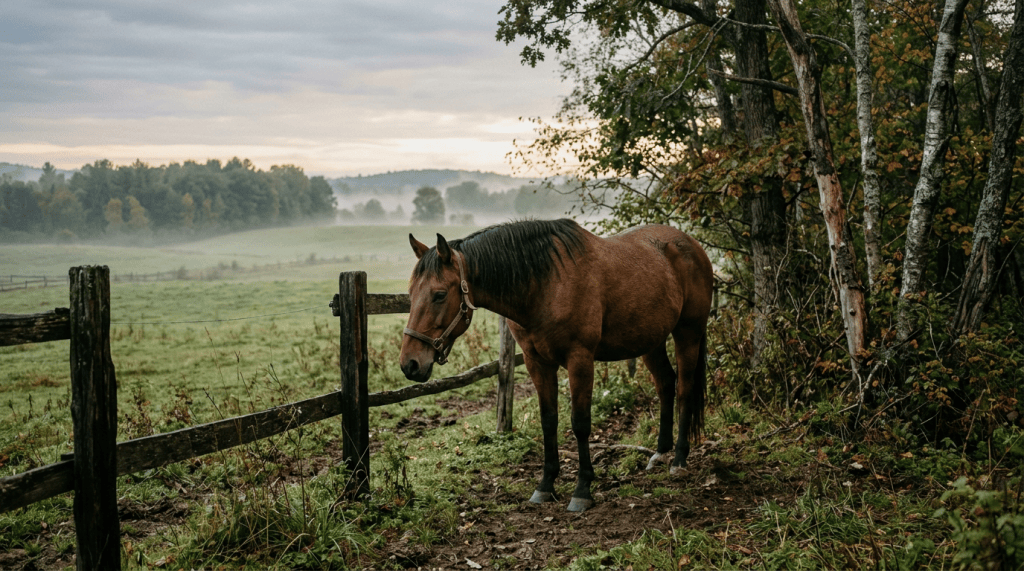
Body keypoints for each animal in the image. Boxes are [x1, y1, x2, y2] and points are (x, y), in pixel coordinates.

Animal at [399, 218, 713, 512]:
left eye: (440, 294)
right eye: (411, 294)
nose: (410, 364)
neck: (544, 285)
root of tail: (692, 245)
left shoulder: (580, 359)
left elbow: (580, 423)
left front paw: (582, 490)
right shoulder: (537, 362)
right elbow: (548, 421)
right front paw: (545, 486)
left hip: (688, 334)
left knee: (684, 389)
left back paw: (679, 460)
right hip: (650, 341)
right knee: (666, 385)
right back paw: (660, 453)